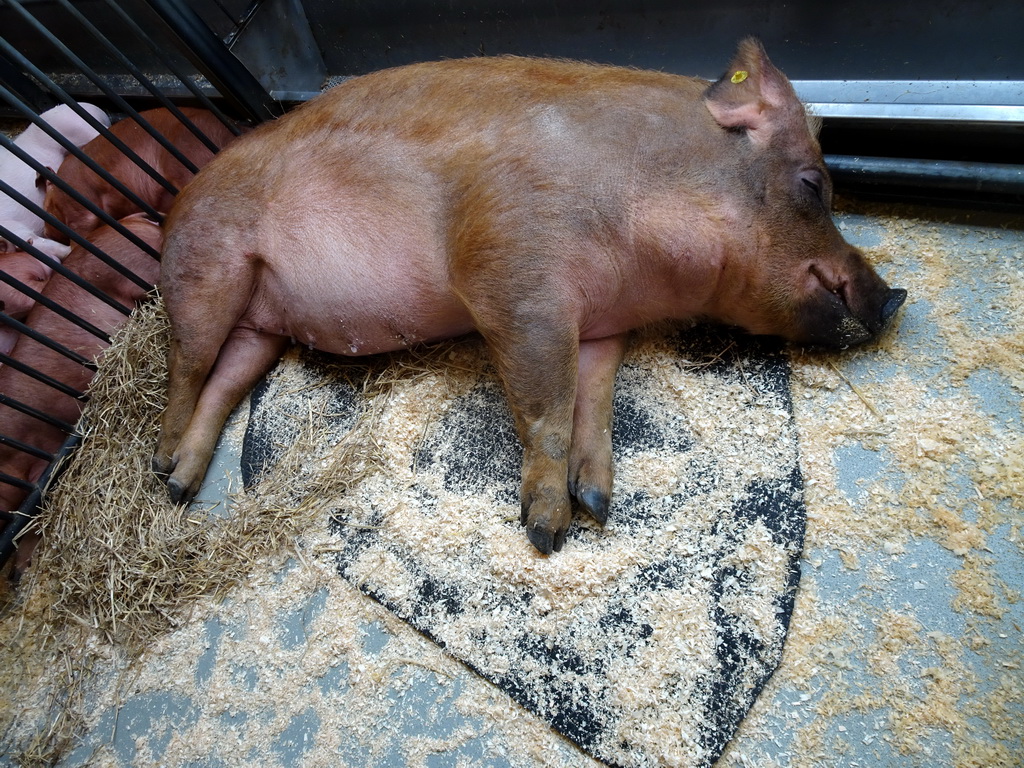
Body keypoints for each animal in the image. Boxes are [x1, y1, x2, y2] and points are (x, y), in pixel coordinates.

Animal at [151, 40, 905, 552]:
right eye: (812, 185)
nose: (896, 296)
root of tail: (178, 199)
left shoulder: (601, 325)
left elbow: (594, 399)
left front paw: (597, 500)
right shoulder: (511, 279)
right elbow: (548, 407)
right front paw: (548, 530)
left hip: (264, 323)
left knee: (227, 377)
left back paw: (181, 483)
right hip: (205, 266)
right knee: (186, 366)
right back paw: (160, 466)